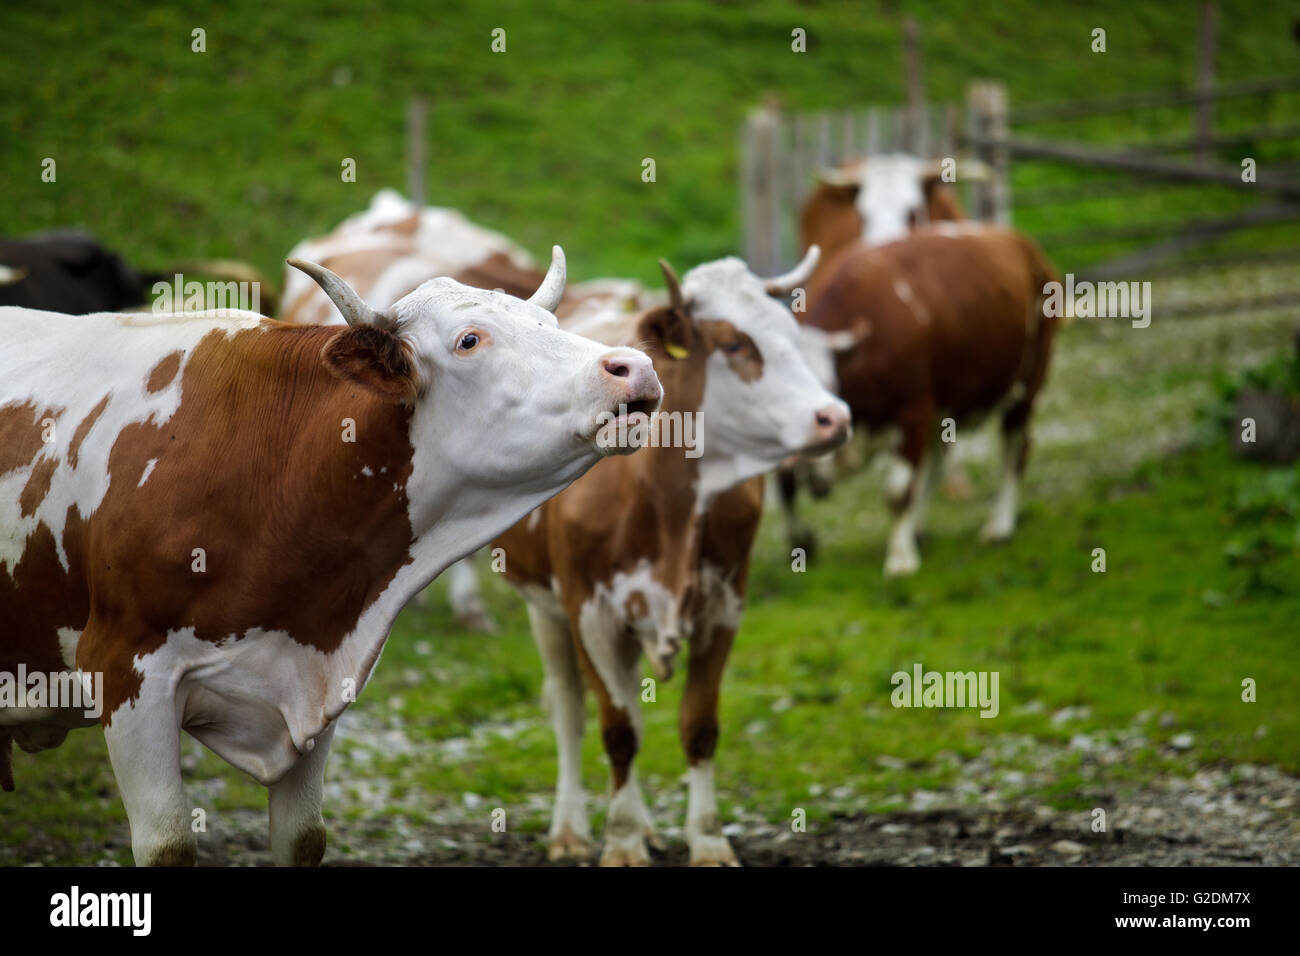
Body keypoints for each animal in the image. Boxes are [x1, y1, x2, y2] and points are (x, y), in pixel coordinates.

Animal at [0, 247, 663, 866]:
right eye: (469, 339)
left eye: (548, 322)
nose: (633, 367)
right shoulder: (127, 674)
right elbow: (167, 843)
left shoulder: (315, 686)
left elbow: (303, 839)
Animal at [492, 246, 852, 866]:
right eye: (734, 344)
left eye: (790, 334)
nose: (835, 417)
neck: (663, 494)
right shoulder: (591, 612)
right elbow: (618, 731)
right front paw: (620, 843)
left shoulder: (724, 607)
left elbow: (698, 725)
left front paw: (705, 838)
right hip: (544, 606)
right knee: (569, 709)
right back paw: (572, 828)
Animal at [788, 224, 1062, 576]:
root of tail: (1019, 242)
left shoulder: (913, 412)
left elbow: (897, 491)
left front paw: (901, 558)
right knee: (936, 462)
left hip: (1025, 386)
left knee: (1015, 448)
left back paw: (999, 525)